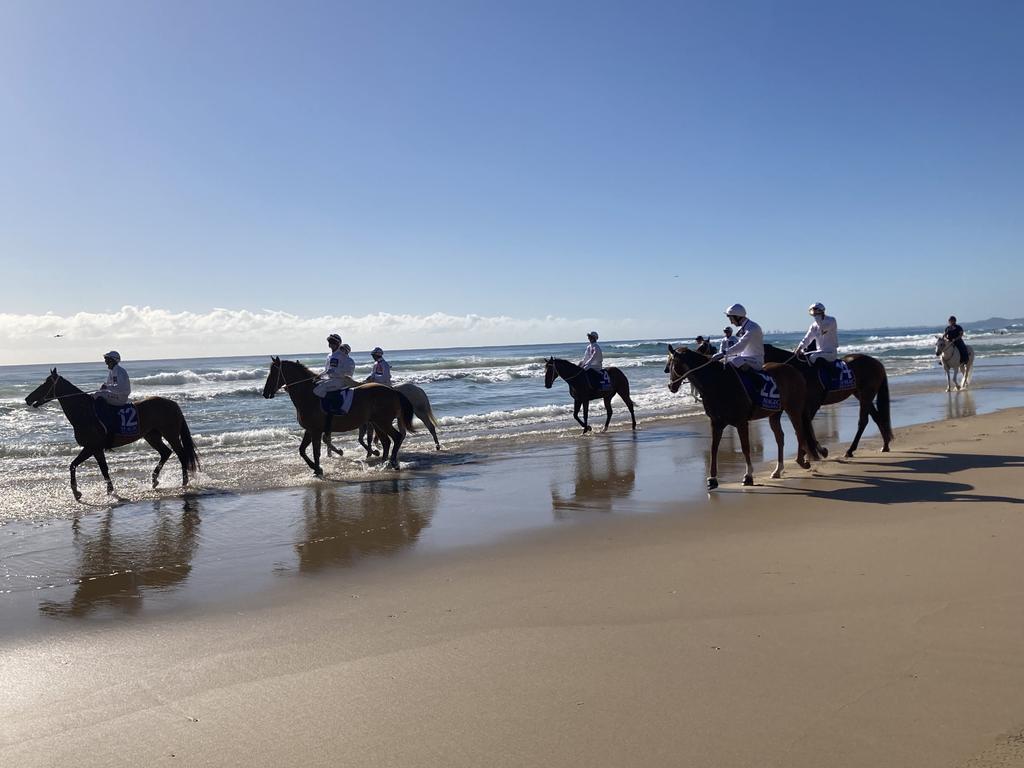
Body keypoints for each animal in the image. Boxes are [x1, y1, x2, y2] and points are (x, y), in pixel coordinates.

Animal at [24, 370, 199, 501]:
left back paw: (184, 483)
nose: (27, 399)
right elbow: (102, 469)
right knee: (166, 452)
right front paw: (109, 490)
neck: (85, 413)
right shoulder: (96, 449)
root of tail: (173, 403)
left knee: (181, 455)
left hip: (170, 434)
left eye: (45, 382)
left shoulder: (92, 447)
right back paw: (155, 480)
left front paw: (77, 492)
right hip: (152, 436)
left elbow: (74, 465)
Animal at [260, 356, 415, 475]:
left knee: (396, 437)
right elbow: (302, 450)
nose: (265, 393)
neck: (308, 395)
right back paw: (383, 463)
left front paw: (318, 469)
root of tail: (393, 391)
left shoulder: (315, 431)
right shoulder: (310, 430)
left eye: (273, 372)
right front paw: (316, 468)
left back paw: (393, 462)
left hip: (383, 422)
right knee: (386, 441)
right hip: (377, 423)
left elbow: (315, 451)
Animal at [663, 348, 815, 489]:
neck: (717, 384)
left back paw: (802, 461)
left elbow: (745, 448)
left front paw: (748, 476)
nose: (671, 386)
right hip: (774, 414)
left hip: (794, 409)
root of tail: (795, 371)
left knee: (800, 432)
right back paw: (778, 470)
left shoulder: (741, 422)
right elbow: (713, 449)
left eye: (672, 364)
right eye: (668, 363)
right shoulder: (716, 423)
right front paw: (712, 479)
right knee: (780, 438)